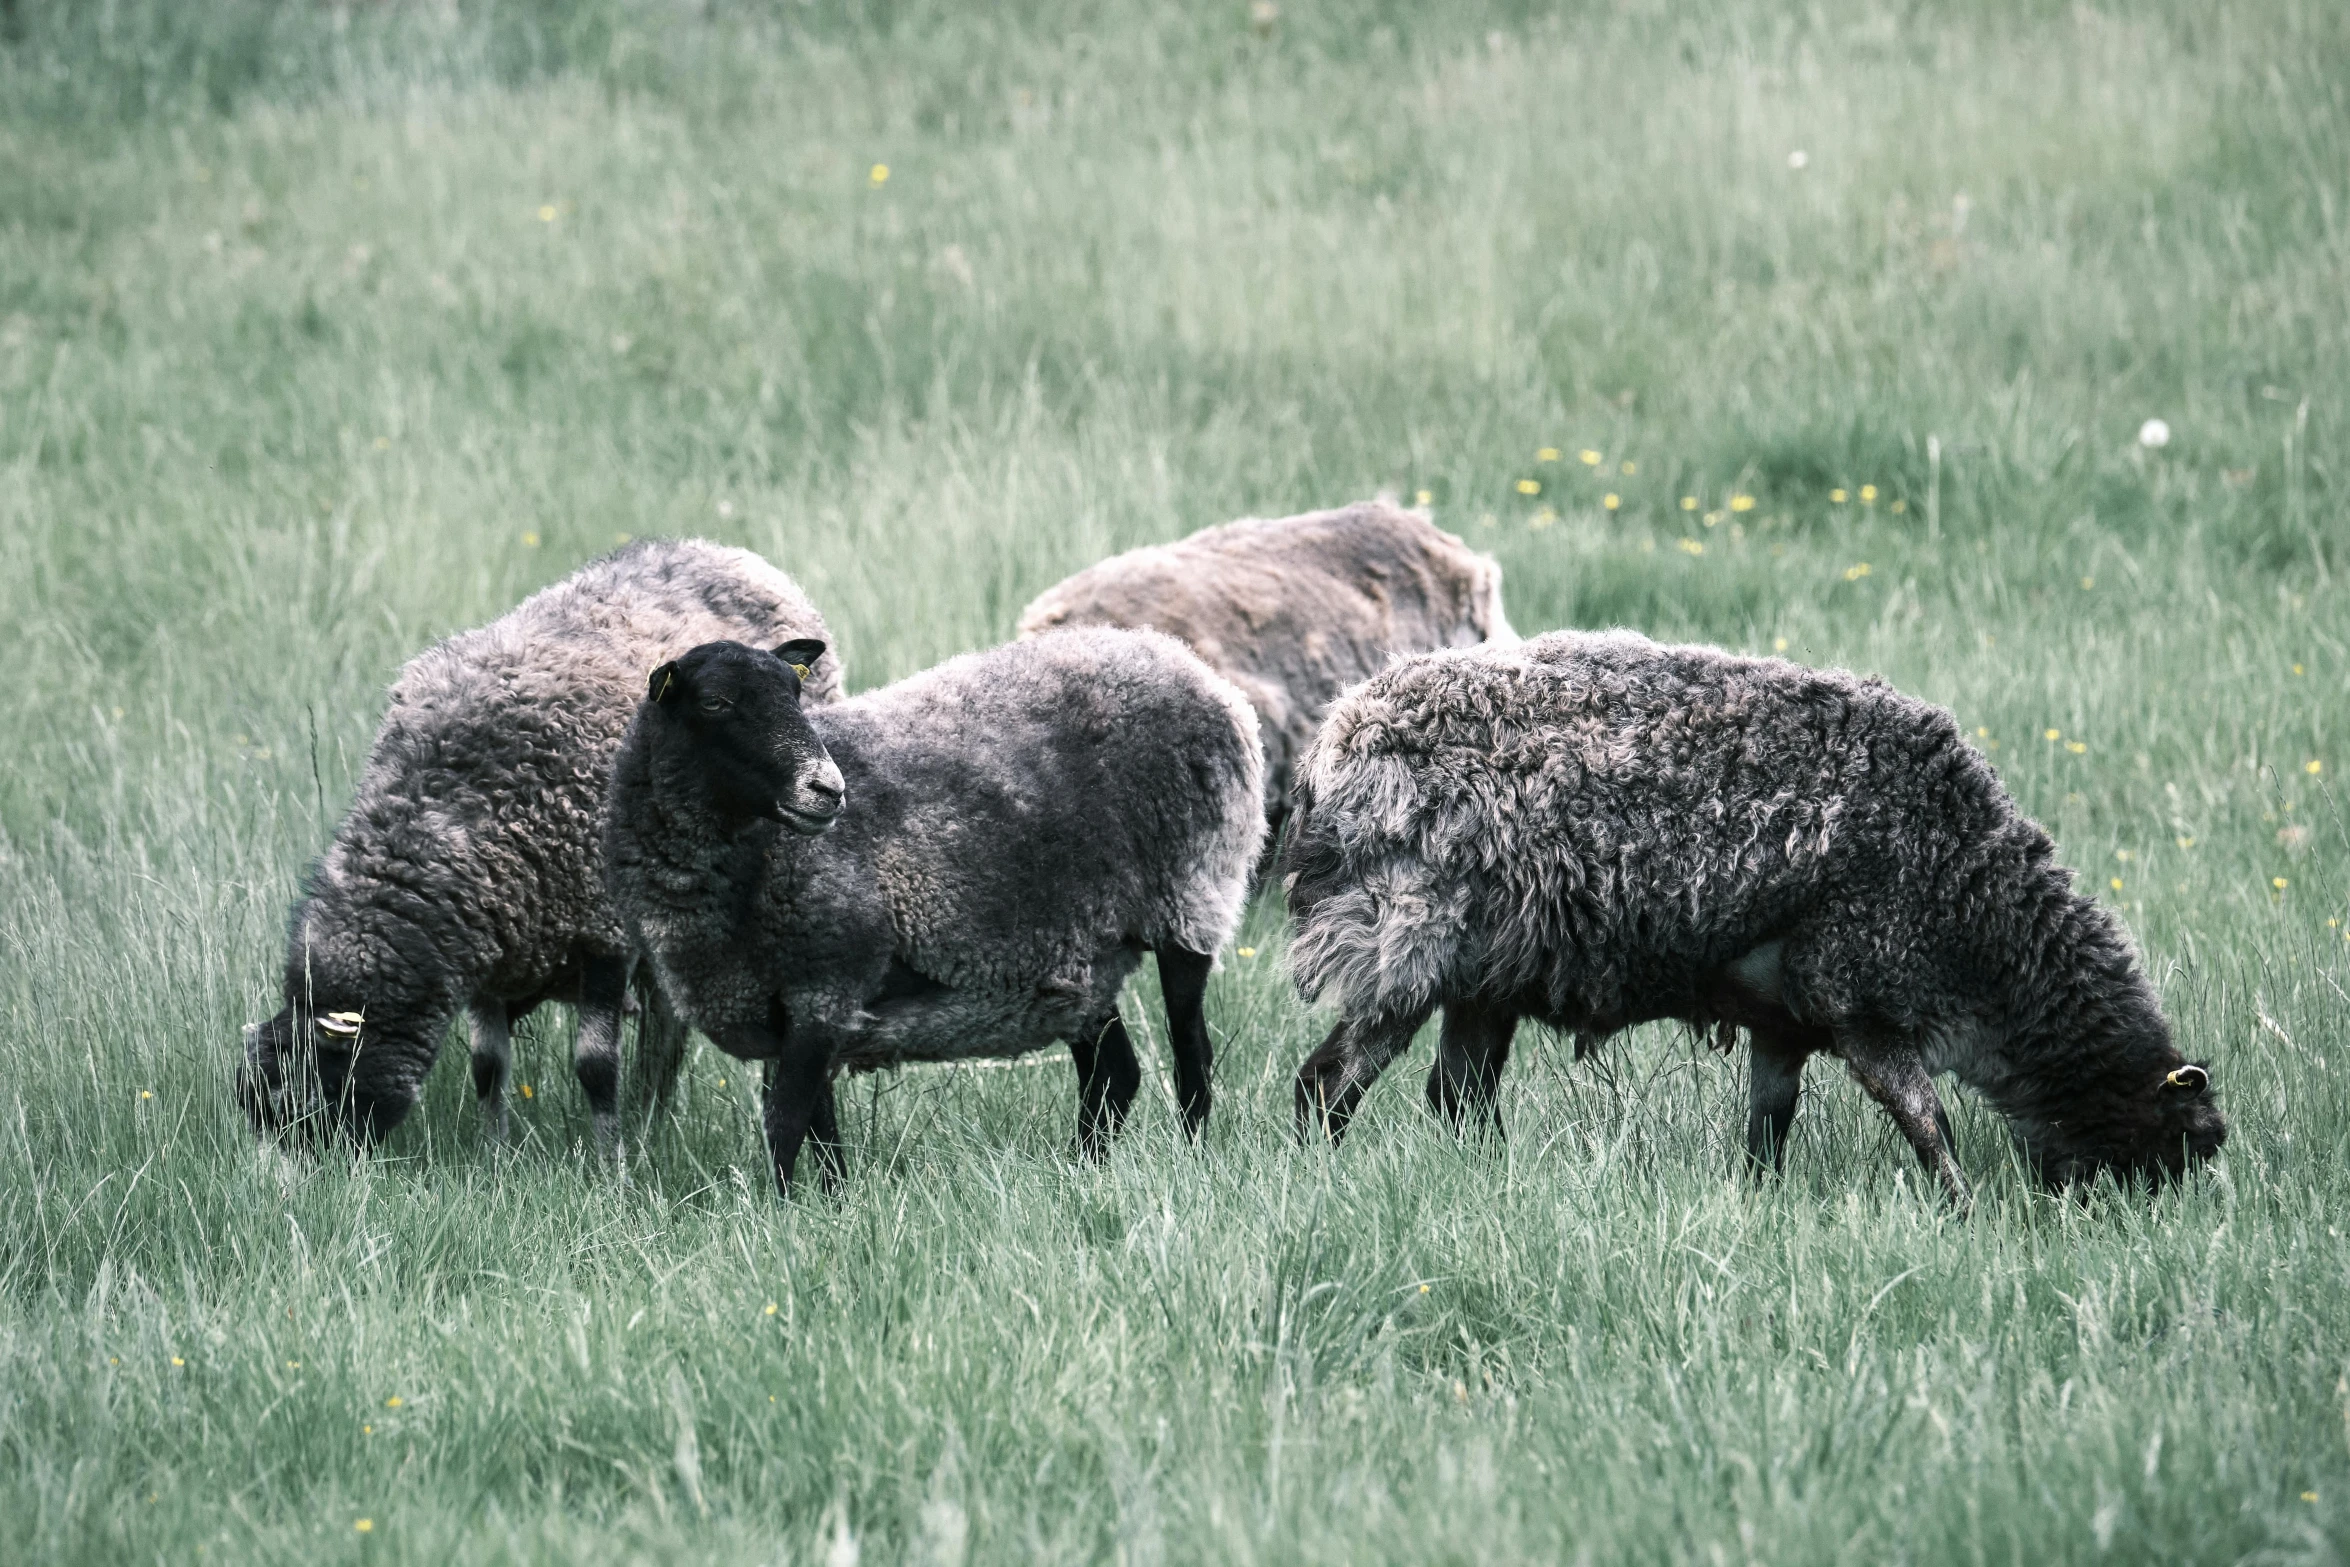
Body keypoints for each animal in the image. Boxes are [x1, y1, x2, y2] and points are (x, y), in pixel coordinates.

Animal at [236, 540, 845, 1151]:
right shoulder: (489, 942)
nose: (292, 1179)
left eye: (301, 1102)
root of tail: (721, 550)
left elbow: (595, 1066)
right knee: (665, 1026)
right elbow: (488, 1065)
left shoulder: (603, 932)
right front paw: (496, 1153)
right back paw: (650, 1117)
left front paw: (610, 1160)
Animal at [606, 624, 1269, 1188]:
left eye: (796, 693)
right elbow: (819, 1128)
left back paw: (1188, 1161)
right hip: (1076, 952)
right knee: (1114, 1073)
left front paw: (781, 1216)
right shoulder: (796, 1005)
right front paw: (834, 1208)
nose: (828, 789)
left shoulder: (825, 988)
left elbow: (787, 1125)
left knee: (1191, 1055)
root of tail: (1189, 664)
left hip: (1192, 899)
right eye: (715, 703)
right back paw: (1083, 1172)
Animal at [1287, 629, 2218, 1212]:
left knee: (1458, 1097)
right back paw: (1313, 1179)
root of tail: (1328, 751)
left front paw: (1760, 1201)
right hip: (1401, 946)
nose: (2162, 1230)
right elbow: (1931, 1122)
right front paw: (1965, 1212)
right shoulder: (1861, 1005)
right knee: (1328, 1081)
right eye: (2185, 1143)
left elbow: (1769, 1130)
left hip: (1483, 977)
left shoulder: (1783, 1024)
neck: (1977, 910)